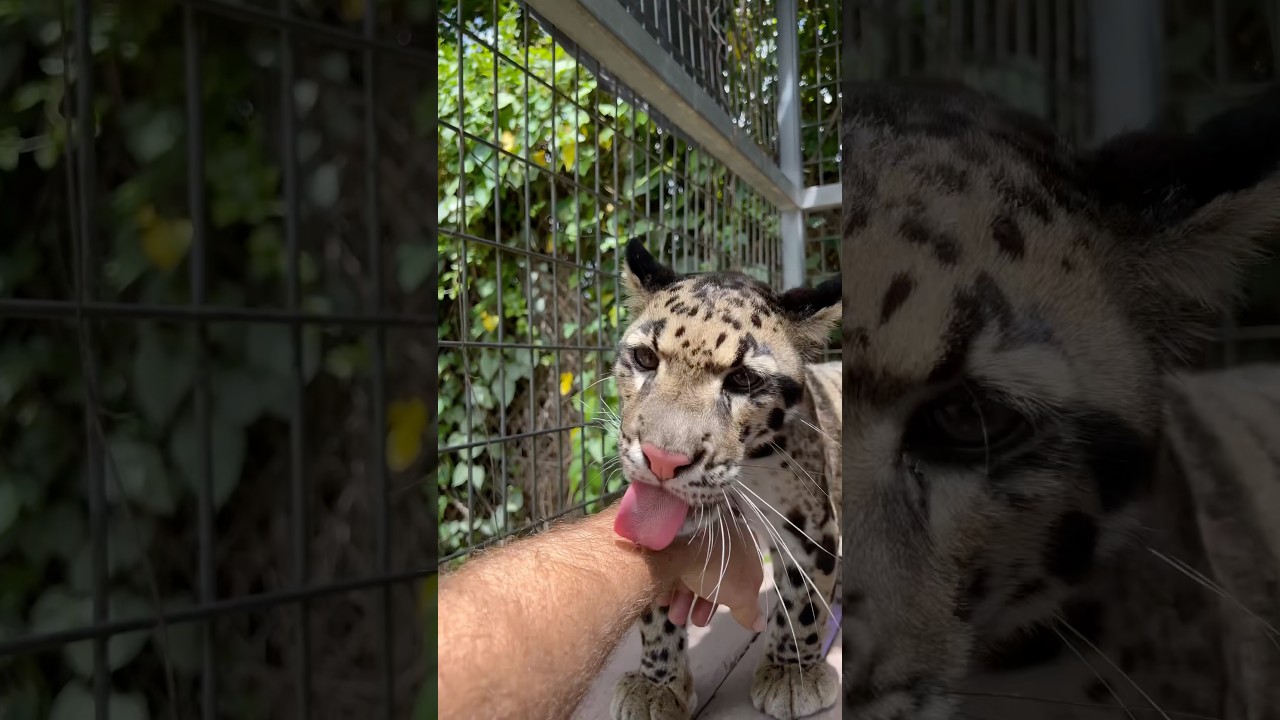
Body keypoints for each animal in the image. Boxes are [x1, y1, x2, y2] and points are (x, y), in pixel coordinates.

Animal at [607, 238, 844, 720]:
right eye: (645, 358)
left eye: (743, 380)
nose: (663, 460)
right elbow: (656, 608)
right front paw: (657, 684)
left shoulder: (811, 522)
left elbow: (804, 598)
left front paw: (792, 673)